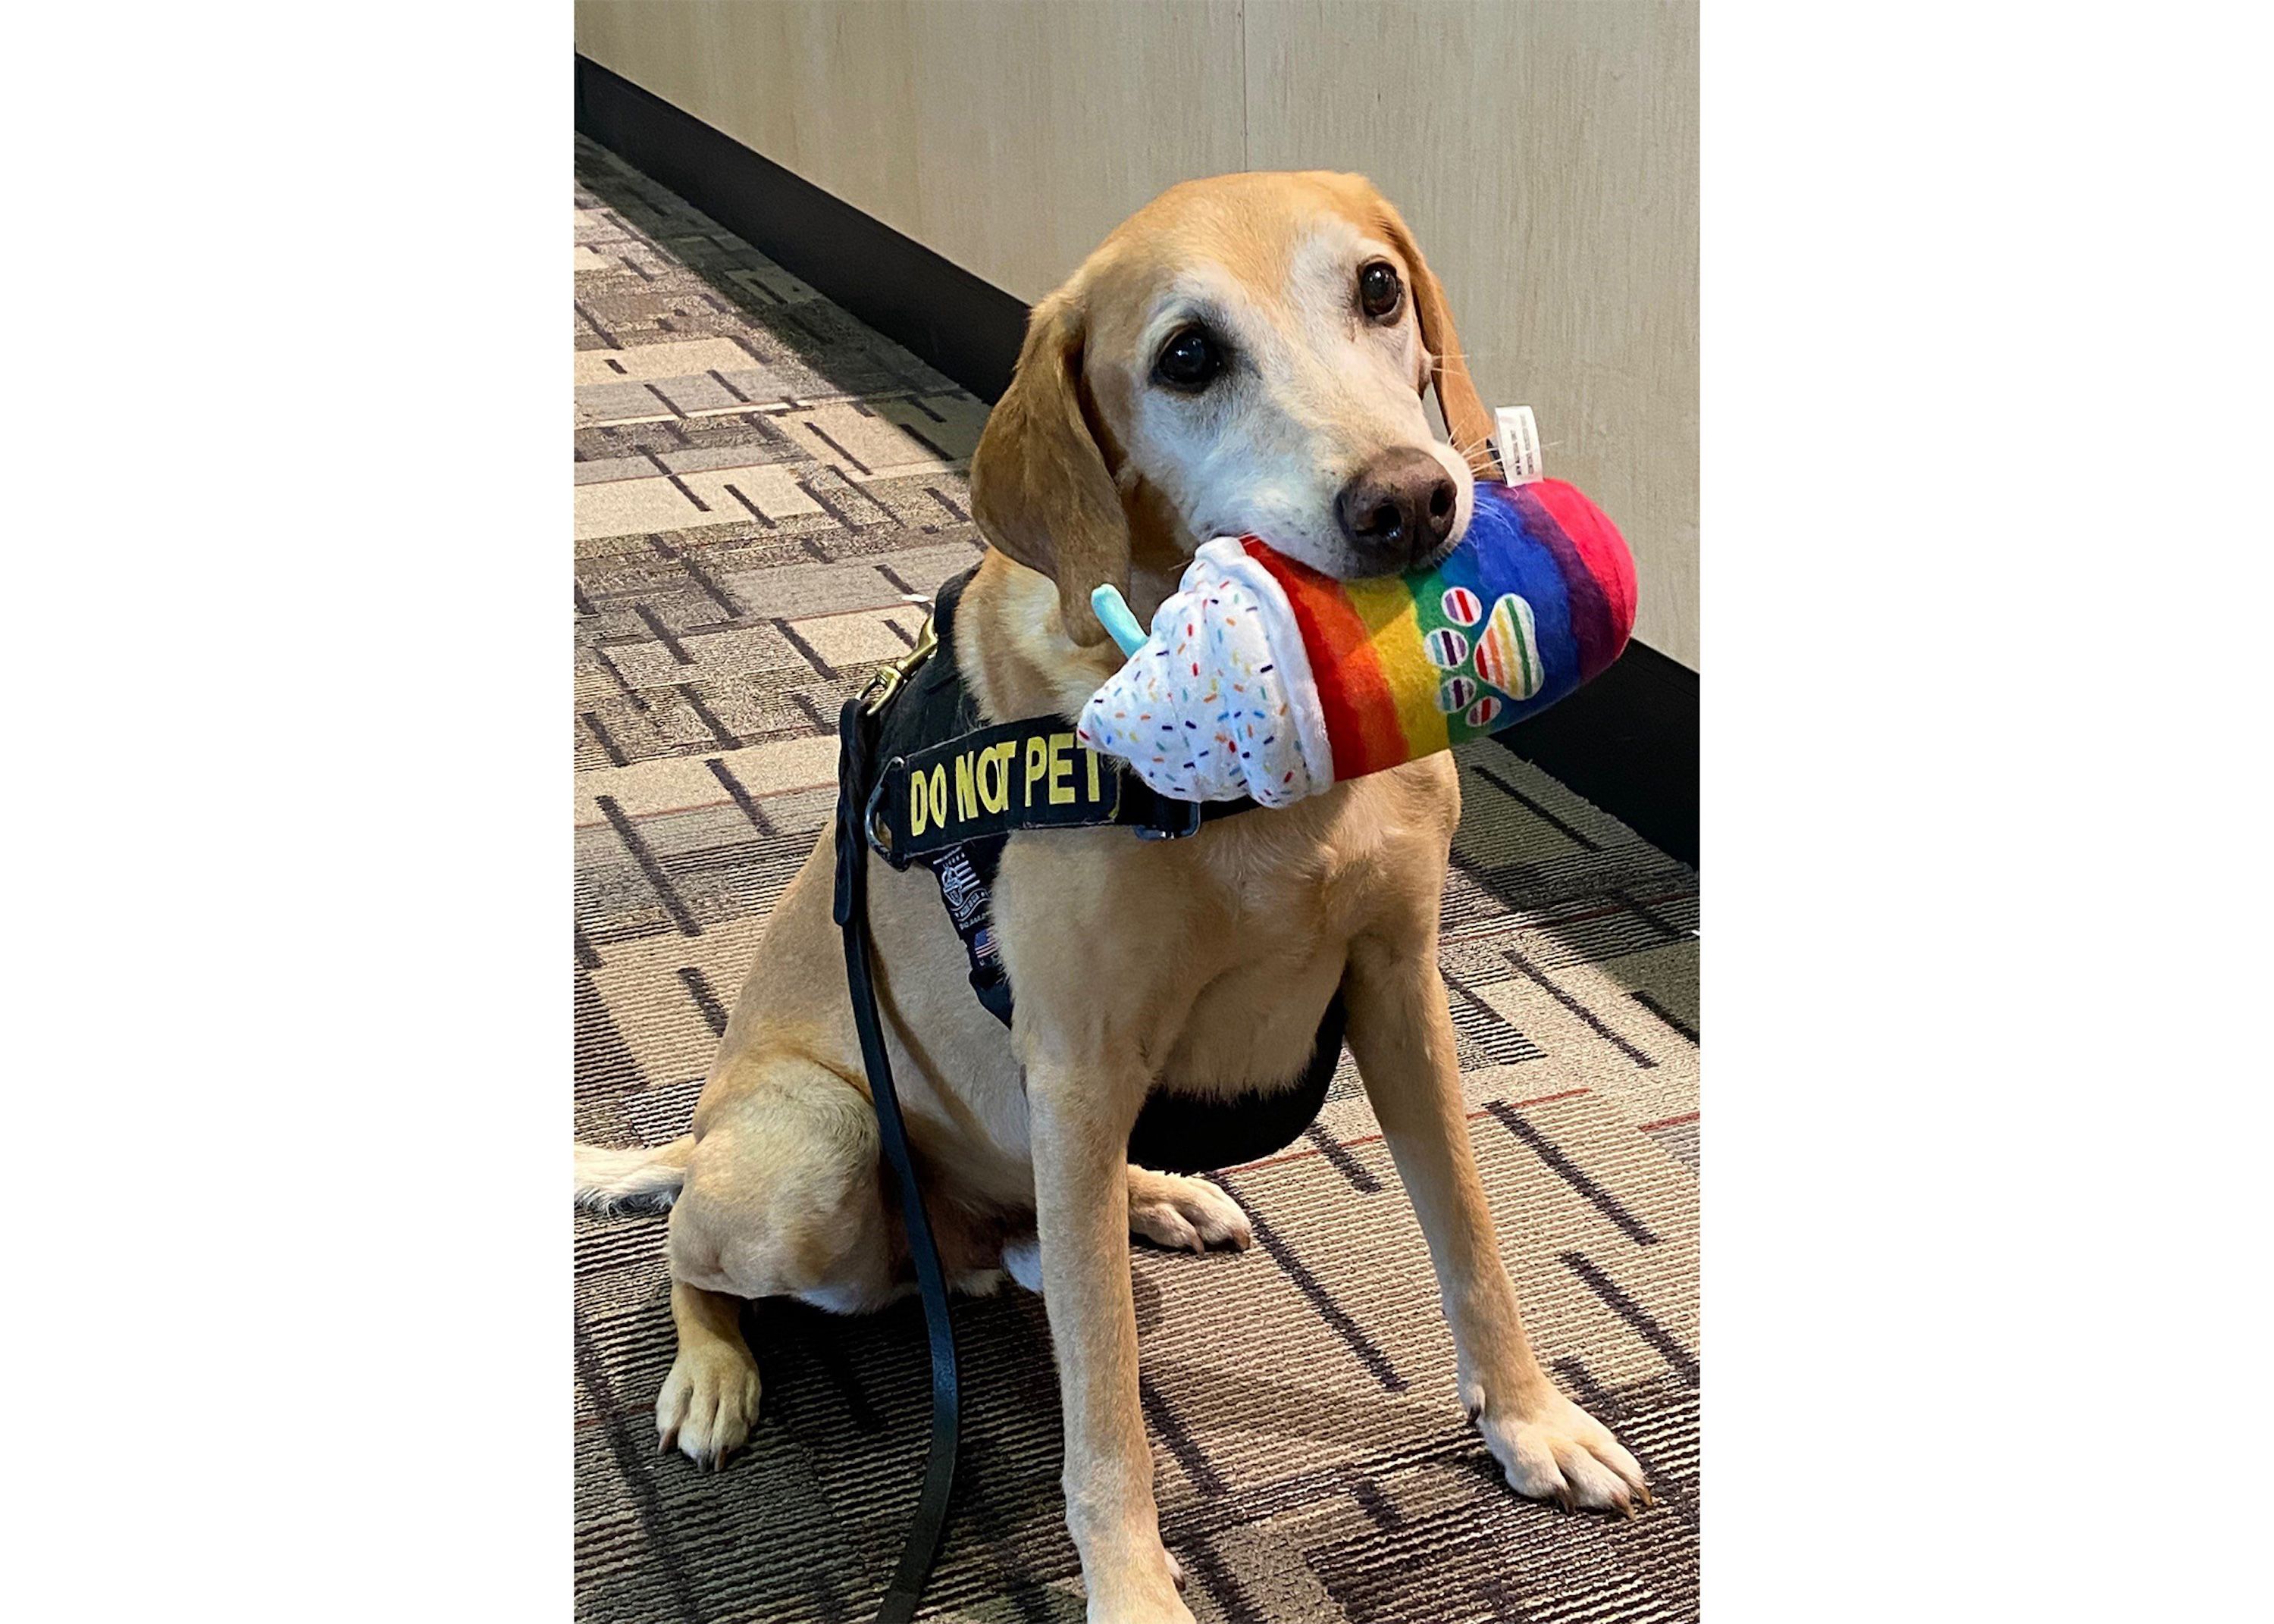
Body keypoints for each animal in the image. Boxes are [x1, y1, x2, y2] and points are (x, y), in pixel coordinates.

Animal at [578, 171, 1646, 1610]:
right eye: (1186, 357)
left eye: (1377, 287)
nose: (1412, 500)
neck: (1270, 778)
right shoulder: (1078, 1065)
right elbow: (1106, 1395)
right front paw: (1134, 1584)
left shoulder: (1400, 986)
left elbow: (1471, 1238)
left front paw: (1531, 1419)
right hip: (814, 1156)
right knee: (691, 1252)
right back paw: (712, 1363)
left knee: (1033, 1235)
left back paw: (1153, 1197)